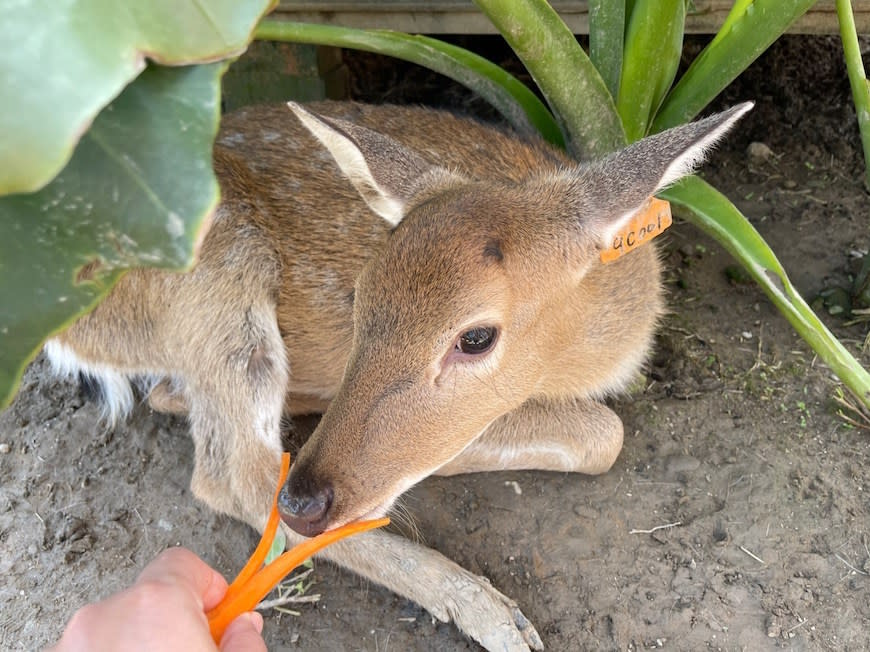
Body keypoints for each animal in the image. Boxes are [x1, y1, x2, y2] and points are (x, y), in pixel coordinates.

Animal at [41, 98, 752, 652]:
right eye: (359, 297)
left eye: (475, 337)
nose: (307, 500)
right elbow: (606, 432)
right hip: (222, 270)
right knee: (235, 472)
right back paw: (492, 613)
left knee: (180, 404)